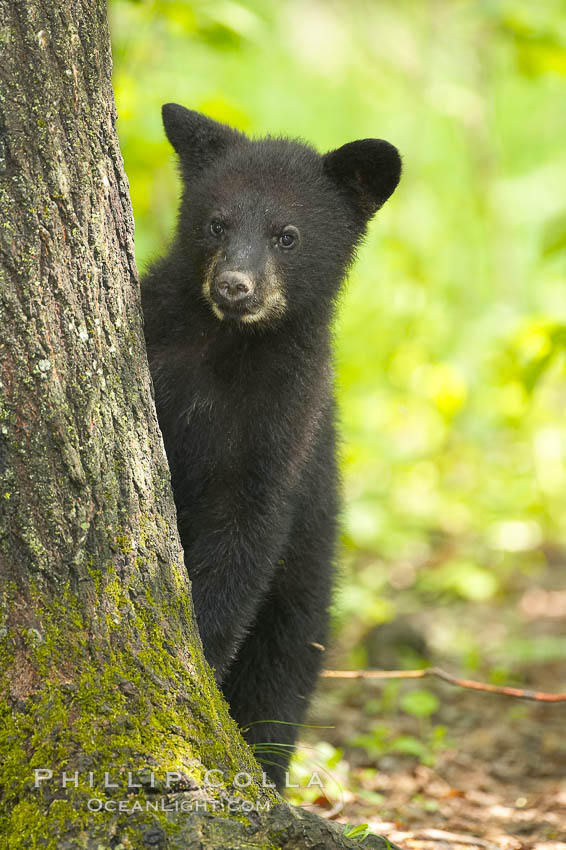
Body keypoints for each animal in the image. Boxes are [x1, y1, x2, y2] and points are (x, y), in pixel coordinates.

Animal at [141, 104, 401, 789]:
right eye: (217, 223)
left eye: (288, 235)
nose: (235, 286)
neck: (228, 347)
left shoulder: (285, 420)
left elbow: (244, 534)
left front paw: (199, 653)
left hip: (306, 583)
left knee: (283, 674)